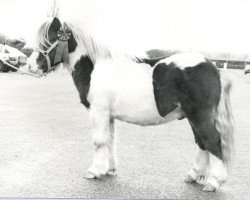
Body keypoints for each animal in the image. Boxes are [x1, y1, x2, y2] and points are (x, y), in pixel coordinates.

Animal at [30, 16, 235, 191]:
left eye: (47, 41)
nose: (32, 66)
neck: (94, 68)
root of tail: (214, 68)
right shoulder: (108, 115)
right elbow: (110, 140)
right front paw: (109, 169)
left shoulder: (98, 111)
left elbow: (99, 141)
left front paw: (94, 171)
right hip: (192, 117)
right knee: (201, 142)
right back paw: (194, 175)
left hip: (199, 115)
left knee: (212, 140)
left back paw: (213, 182)